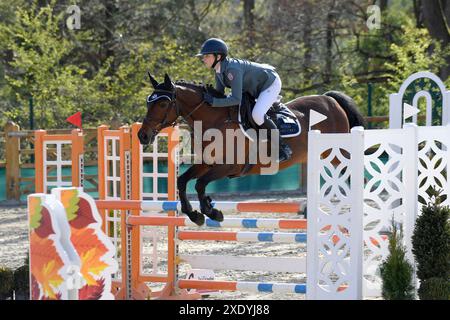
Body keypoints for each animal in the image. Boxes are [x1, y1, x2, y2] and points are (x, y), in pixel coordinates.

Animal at [138, 74, 366, 226]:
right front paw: (195, 214)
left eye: (163, 104)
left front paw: (211, 211)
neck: (216, 121)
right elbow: (182, 181)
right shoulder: (206, 163)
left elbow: (200, 184)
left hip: (338, 154)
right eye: (149, 102)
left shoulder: (228, 167)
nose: (142, 135)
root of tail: (331, 100)